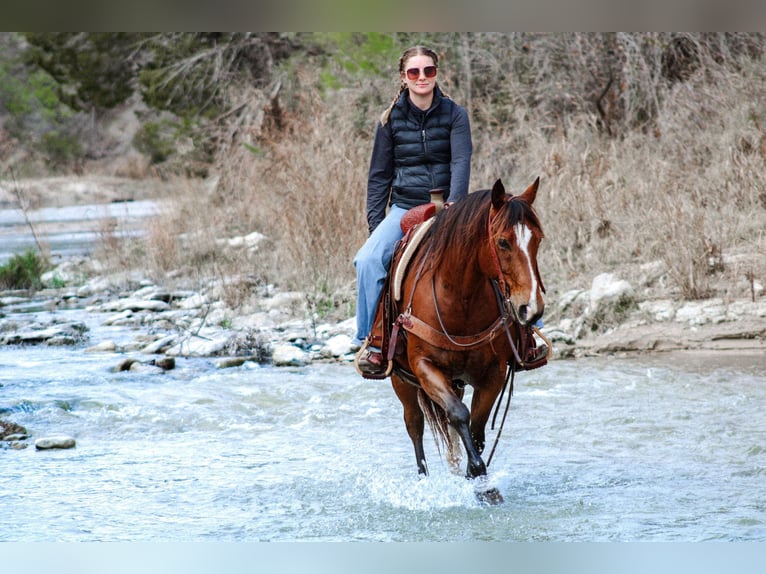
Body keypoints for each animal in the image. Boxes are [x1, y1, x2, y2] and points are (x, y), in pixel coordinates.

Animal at [384, 178, 544, 506]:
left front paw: (480, 482)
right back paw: (423, 481)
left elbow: (477, 428)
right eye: (503, 242)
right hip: (401, 380)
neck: (459, 297)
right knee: (415, 424)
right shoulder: (424, 367)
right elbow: (459, 414)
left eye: (538, 240)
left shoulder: (493, 374)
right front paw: (480, 478)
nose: (531, 308)